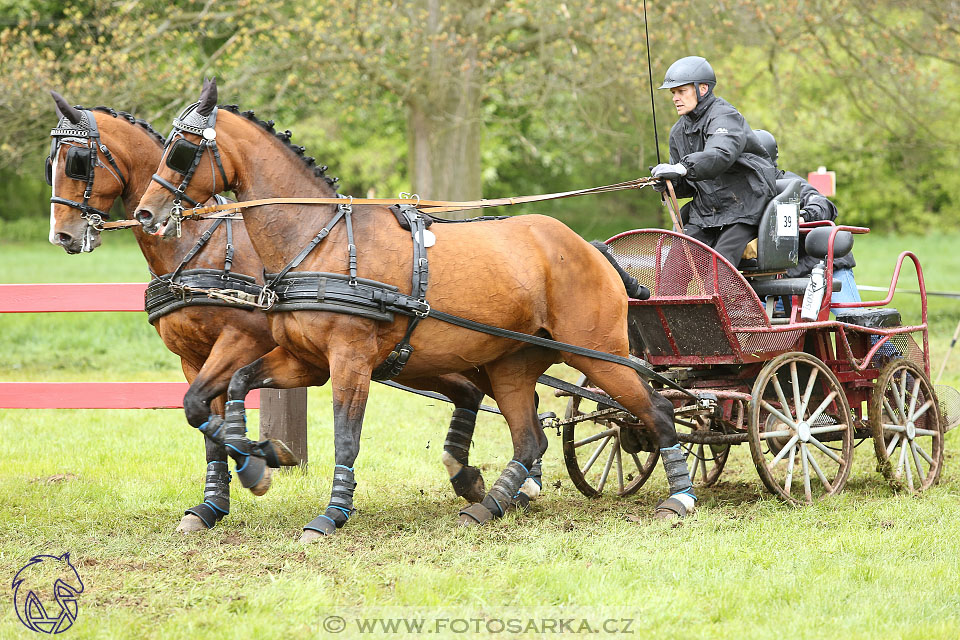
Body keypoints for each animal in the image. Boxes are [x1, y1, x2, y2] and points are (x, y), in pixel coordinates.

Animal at [45, 90, 492, 536]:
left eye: (76, 161)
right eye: (51, 164)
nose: (62, 235)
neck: (198, 247)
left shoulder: (240, 341)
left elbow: (202, 407)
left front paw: (259, 463)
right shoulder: (193, 358)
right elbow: (203, 421)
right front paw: (212, 504)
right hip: (410, 359)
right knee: (469, 391)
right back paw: (468, 477)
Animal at [133, 77, 688, 544]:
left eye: (181, 150)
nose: (146, 213)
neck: (320, 242)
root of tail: (590, 248)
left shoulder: (349, 361)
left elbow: (346, 440)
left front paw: (331, 515)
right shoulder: (304, 362)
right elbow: (234, 387)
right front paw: (258, 462)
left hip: (597, 353)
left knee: (658, 411)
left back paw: (679, 498)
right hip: (512, 364)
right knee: (530, 439)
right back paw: (490, 503)